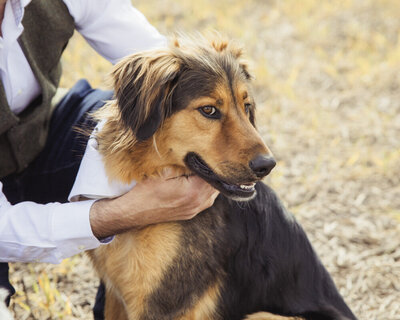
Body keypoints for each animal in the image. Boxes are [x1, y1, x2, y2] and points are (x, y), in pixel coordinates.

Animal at [87, 35, 356, 320]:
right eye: (209, 110)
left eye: (246, 107)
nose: (268, 165)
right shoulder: (116, 294)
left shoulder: (164, 305)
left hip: (261, 314)